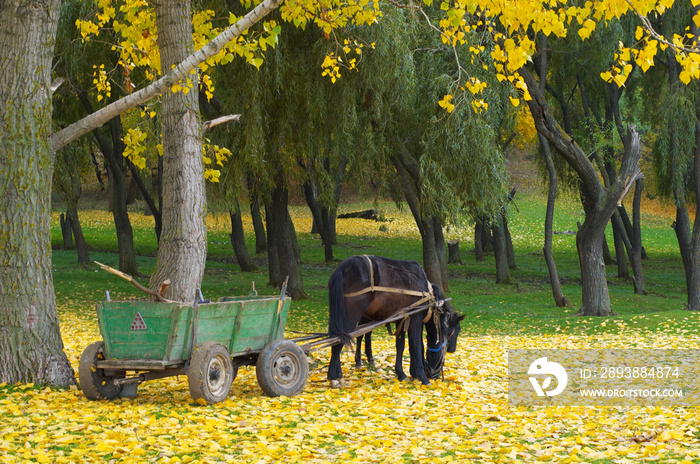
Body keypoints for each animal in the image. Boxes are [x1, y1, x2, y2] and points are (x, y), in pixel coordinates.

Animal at [328, 256, 464, 386]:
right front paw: (422, 376)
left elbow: (401, 345)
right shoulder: (415, 318)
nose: (452, 349)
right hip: (351, 316)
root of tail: (341, 269)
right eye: (454, 331)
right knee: (340, 341)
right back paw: (335, 376)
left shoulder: (403, 319)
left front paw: (403, 373)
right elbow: (416, 345)